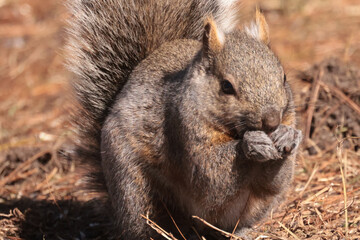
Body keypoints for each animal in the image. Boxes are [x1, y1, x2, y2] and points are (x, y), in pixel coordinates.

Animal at [67, 0, 300, 239]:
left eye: (283, 78)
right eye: (226, 86)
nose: (272, 121)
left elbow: (271, 185)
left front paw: (287, 136)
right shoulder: (182, 129)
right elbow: (213, 178)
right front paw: (252, 144)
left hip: (252, 208)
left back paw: (242, 231)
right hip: (132, 188)